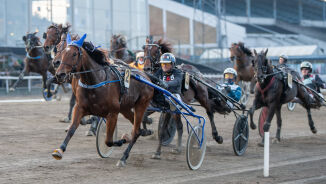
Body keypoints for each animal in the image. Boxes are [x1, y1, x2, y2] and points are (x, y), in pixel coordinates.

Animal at [52, 33, 154, 167]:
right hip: (125, 108)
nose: (60, 74)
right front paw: (60, 150)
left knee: (136, 130)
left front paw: (123, 139)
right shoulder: (80, 108)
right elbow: (72, 129)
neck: (96, 81)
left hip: (141, 105)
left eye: (74, 54)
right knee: (137, 129)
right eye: (62, 50)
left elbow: (108, 141)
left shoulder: (112, 113)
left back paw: (123, 157)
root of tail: (146, 77)